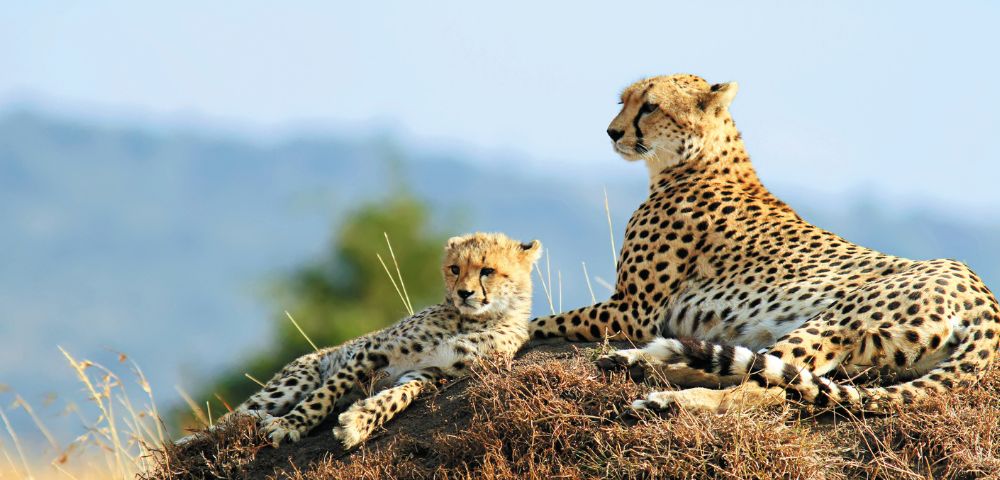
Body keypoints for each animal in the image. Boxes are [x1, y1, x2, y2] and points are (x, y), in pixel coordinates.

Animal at [223, 232, 541, 448]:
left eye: (487, 271)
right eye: (455, 269)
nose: (463, 293)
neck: (476, 318)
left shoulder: (431, 372)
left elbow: (398, 396)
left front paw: (358, 421)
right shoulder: (371, 351)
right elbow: (324, 394)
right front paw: (290, 424)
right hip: (296, 380)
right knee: (226, 421)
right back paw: (249, 420)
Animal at [530, 74, 1000, 414]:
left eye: (650, 106)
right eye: (622, 102)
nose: (612, 132)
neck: (697, 160)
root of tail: (983, 297)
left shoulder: (633, 310)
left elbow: (542, 320)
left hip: (835, 320)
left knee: (765, 387)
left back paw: (665, 395)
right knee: (764, 373)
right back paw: (644, 365)